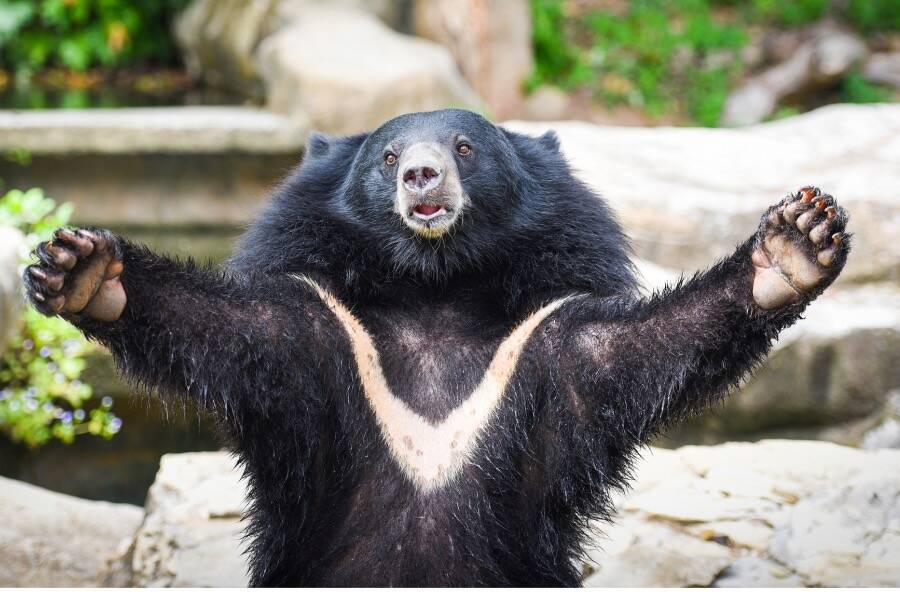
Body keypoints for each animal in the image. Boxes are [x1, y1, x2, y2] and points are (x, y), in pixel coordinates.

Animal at [23, 109, 849, 587]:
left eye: (464, 146)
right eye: (388, 156)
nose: (424, 174)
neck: (435, 288)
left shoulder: (544, 346)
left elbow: (633, 349)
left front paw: (795, 244)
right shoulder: (320, 338)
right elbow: (231, 328)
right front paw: (82, 270)